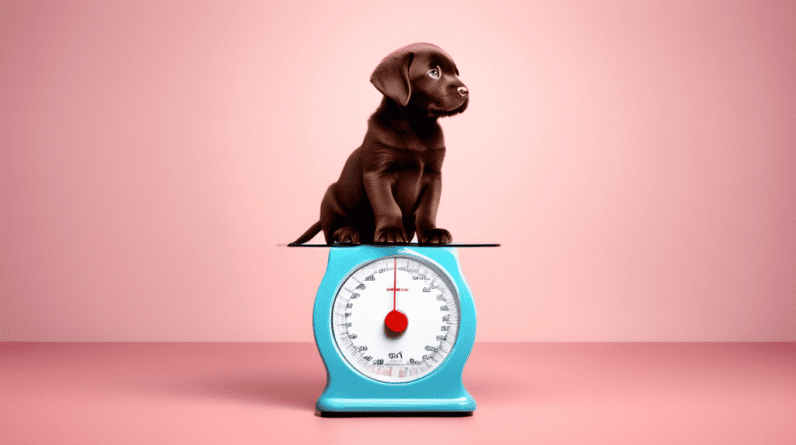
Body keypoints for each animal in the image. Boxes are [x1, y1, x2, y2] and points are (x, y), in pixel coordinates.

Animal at [290, 43, 466, 245]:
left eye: (456, 73)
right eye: (433, 72)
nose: (465, 90)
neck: (417, 128)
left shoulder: (433, 175)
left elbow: (428, 209)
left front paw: (431, 232)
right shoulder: (378, 173)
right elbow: (388, 205)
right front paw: (391, 230)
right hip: (330, 198)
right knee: (332, 229)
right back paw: (347, 233)